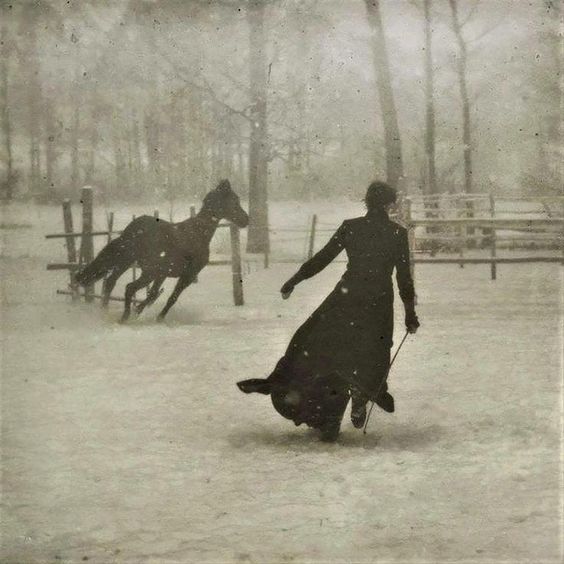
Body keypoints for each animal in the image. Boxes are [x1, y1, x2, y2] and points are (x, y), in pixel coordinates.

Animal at [75, 181, 249, 322]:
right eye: (234, 201)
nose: (246, 220)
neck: (198, 233)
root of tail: (133, 229)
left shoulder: (163, 274)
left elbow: (153, 294)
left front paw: (139, 310)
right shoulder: (187, 275)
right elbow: (171, 297)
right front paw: (157, 317)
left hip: (127, 262)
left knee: (110, 282)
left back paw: (104, 311)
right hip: (146, 271)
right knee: (128, 287)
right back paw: (123, 317)